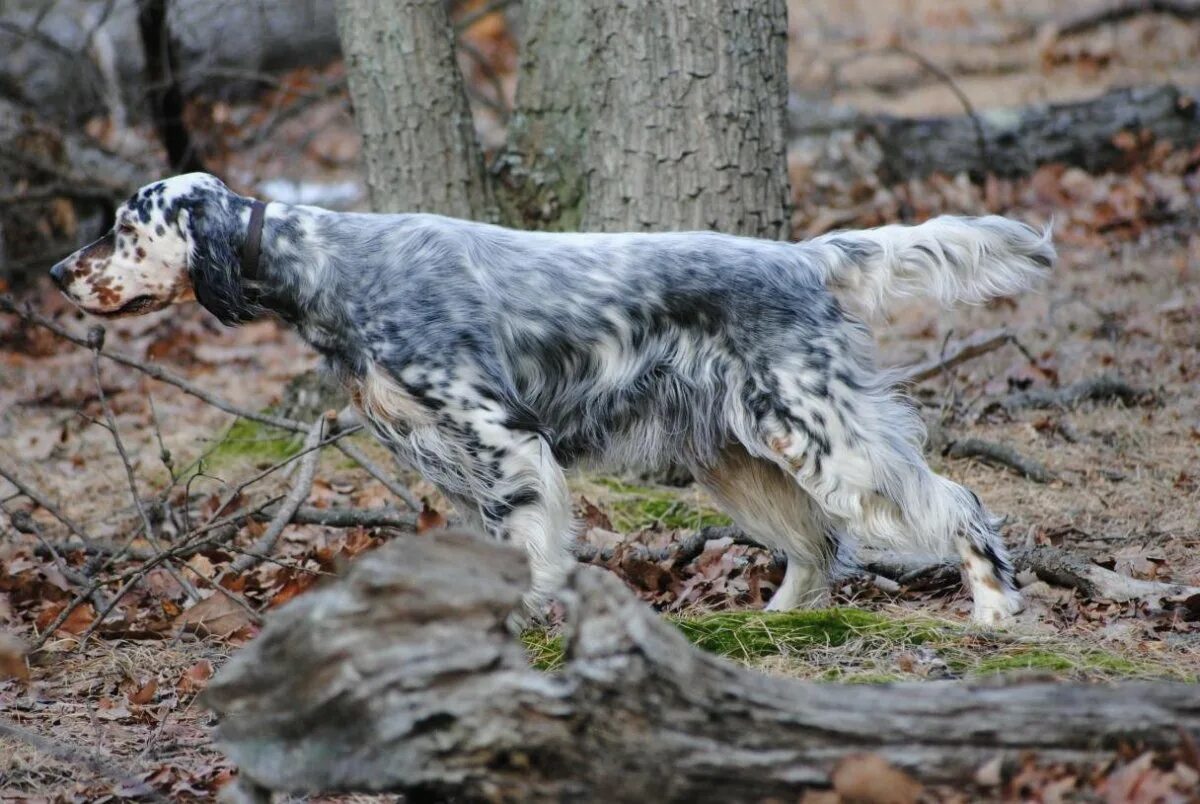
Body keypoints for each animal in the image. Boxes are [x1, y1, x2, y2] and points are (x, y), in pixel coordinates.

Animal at [51, 172, 1056, 628]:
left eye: (125, 227)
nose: (59, 272)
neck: (330, 268)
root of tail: (804, 257)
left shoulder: (501, 439)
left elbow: (528, 549)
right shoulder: (445, 458)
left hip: (818, 426)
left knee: (951, 499)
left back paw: (993, 607)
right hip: (740, 450)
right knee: (818, 542)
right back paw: (775, 620)